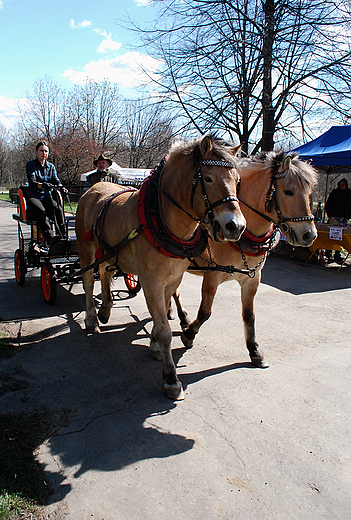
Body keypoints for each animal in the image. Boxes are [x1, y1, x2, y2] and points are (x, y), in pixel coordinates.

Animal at [76, 133, 248, 398]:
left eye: (237, 181)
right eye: (208, 178)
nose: (236, 226)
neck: (162, 219)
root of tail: (93, 188)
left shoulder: (173, 279)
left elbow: (161, 317)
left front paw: (156, 345)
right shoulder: (152, 281)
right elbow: (165, 329)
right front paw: (171, 379)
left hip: (108, 252)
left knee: (105, 272)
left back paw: (105, 309)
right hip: (85, 250)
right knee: (87, 283)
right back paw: (93, 318)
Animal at [170, 150, 320, 368]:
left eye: (309, 194)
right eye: (288, 192)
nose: (309, 235)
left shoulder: (253, 279)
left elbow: (249, 315)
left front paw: (254, 350)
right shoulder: (213, 276)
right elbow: (205, 312)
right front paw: (190, 334)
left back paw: (177, 315)